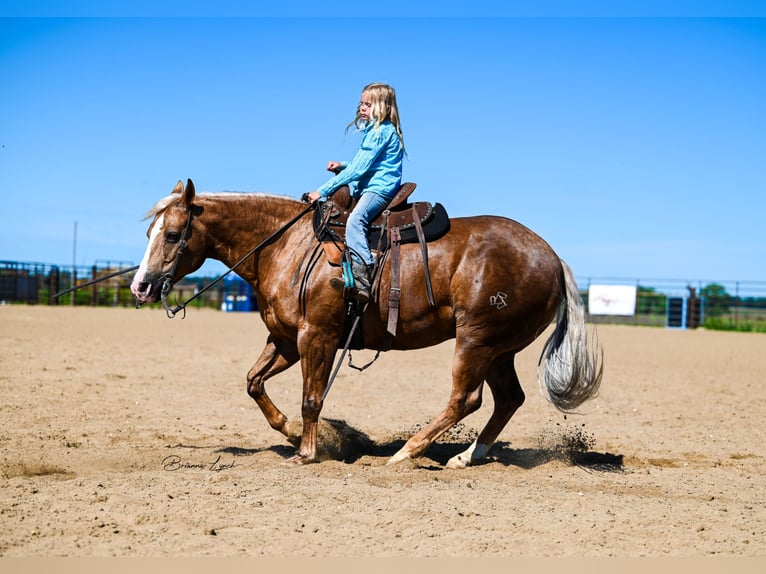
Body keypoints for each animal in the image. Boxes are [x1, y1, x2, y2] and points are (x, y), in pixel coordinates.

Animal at [130, 180, 608, 468]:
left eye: (172, 234)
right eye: (149, 232)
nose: (140, 286)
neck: (288, 246)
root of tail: (552, 257)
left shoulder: (317, 336)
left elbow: (311, 398)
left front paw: (307, 452)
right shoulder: (285, 339)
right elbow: (253, 381)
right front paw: (292, 433)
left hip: (477, 341)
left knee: (465, 399)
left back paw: (407, 453)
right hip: (499, 349)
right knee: (508, 399)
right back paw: (466, 457)